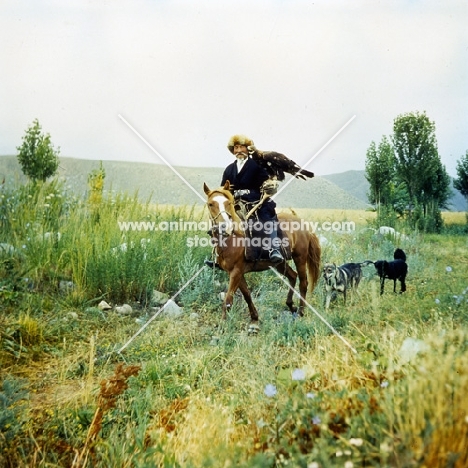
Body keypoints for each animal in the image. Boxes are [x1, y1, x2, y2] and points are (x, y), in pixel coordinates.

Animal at [203, 180, 320, 332]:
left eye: (228, 203)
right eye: (210, 204)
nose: (225, 227)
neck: (232, 239)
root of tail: (304, 225)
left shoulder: (236, 272)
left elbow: (228, 300)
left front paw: (222, 326)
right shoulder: (237, 273)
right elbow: (247, 295)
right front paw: (254, 318)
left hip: (300, 258)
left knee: (303, 283)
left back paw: (300, 311)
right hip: (279, 263)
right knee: (292, 276)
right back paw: (290, 305)